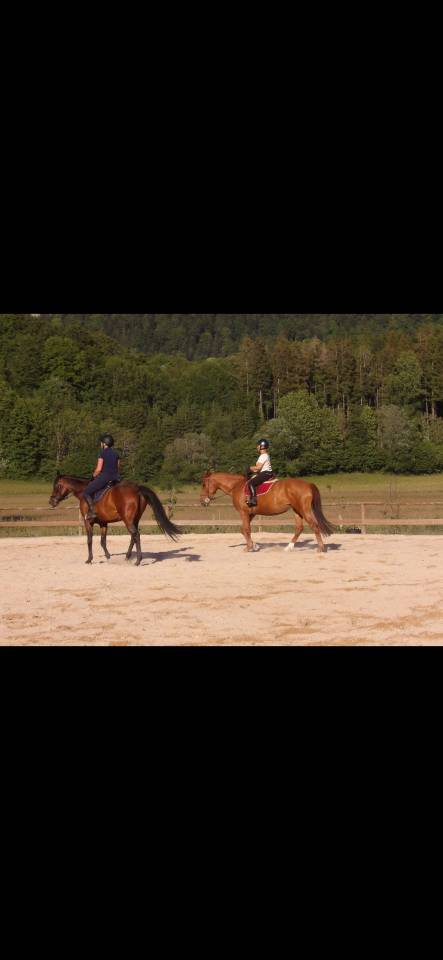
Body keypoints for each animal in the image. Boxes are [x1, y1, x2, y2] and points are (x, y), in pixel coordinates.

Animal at [49, 474, 180, 565]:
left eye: (57, 486)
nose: (51, 502)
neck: (83, 491)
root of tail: (137, 488)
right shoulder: (103, 523)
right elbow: (103, 541)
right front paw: (108, 557)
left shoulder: (88, 522)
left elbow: (89, 540)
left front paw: (89, 559)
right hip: (134, 519)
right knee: (134, 536)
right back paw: (127, 556)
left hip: (127, 520)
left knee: (135, 535)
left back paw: (138, 560)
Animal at [200, 471, 334, 553]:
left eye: (203, 484)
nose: (202, 501)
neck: (236, 486)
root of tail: (308, 484)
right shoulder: (251, 513)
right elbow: (243, 529)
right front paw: (254, 546)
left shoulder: (244, 512)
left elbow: (246, 529)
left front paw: (249, 548)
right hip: (297, 510)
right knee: (299, 528)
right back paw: (289, 547)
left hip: (303, 510)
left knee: (314, 526)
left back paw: (320, 548)